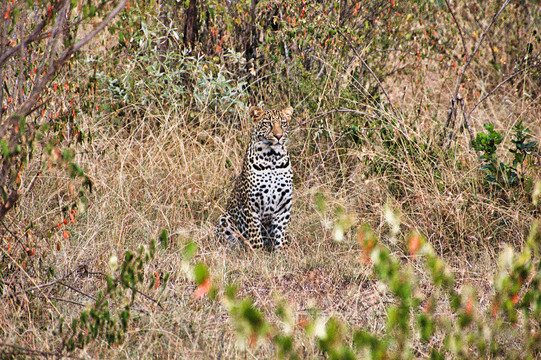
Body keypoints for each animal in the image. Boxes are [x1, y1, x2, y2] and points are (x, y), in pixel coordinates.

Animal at [215, 105, 294, 250]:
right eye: (267, 123)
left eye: (283, 123)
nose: (278, 136)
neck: (272, 158)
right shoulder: (252, 206)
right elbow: (255, 236)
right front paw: (257, 254)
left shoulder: (284, 207)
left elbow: (281, 237)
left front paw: (283, 253)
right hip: (225, 219)